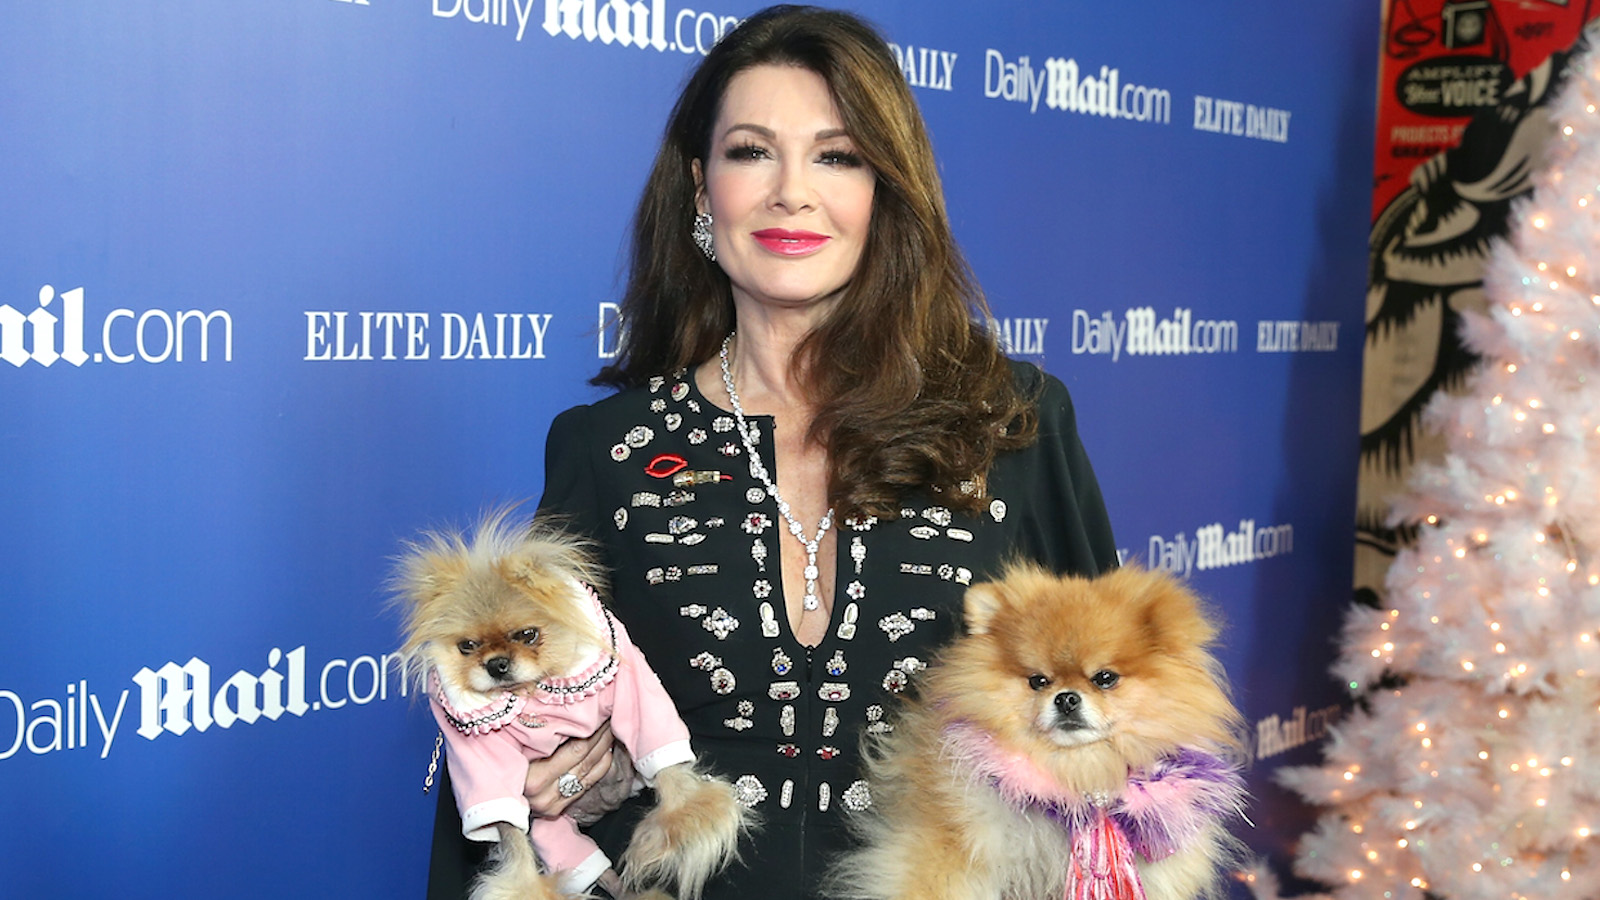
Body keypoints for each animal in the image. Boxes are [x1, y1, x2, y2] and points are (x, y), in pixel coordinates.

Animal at [396, 512, 752, 896]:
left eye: (528, 635)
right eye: (467, 646)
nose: (496, 664)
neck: (535, 692)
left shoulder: (635, 695)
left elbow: (664, 763)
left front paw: (688, 819)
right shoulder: (484, 765)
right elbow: (510, 834)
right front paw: (523, 888)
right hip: (549, 827)